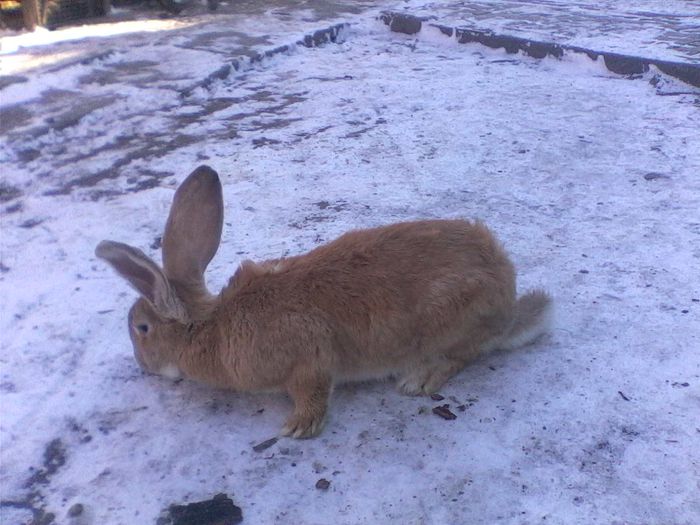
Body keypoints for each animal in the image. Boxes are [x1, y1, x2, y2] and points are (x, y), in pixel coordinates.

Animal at [95, 166, 552, 436]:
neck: (213, 327)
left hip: (452, 320)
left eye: (142, 328)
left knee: (464, 354)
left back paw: (419, 378)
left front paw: (297, 428)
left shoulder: (308, 354)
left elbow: (312, 389)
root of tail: (507, 295)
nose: (141, 367)